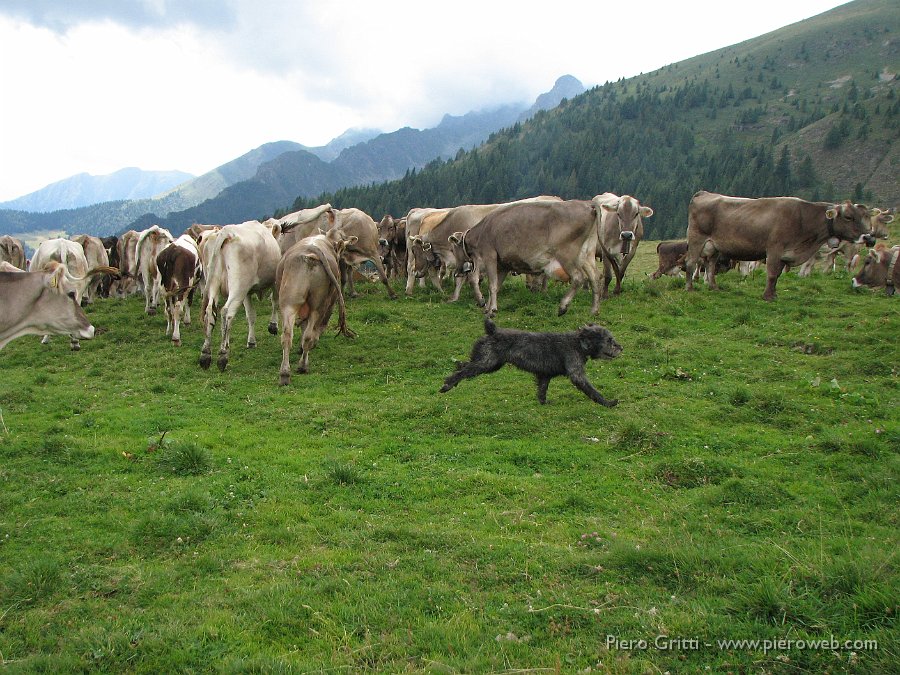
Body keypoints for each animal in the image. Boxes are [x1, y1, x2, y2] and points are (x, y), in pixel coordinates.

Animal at [200, 220, 282, 372]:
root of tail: (226, 232)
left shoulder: (247, 293)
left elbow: (251, 315)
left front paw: (251, 341)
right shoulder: (274, 281)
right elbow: (275, 303)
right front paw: (273, 326)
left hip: (214, 282)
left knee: (210, 312)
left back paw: (205, 355)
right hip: (238, 286)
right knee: (226, 312)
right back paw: (223, 355)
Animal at [276, 230, 356, 386]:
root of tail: (310, 251)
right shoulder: (329, 304)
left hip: (289, 303)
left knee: (287, 336)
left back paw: (285, 374)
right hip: (319, 306)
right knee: (309, 334)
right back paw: (303, 366)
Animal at [440, 318, 624, 406]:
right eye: (609, 340)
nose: (621, 348)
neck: (579, 343)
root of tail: (492, 331)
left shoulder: (544, 376)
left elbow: (542, 391)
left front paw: (544, 403)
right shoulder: (577, 374)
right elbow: (592, 391)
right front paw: (608, 403)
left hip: (490, 364)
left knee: (464, 365)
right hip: (485, 363)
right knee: (463, 372)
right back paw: (447, 385)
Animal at [450, 199, 604, 318]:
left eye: (453, 249)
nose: (457, 272)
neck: (481, 232)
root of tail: (587, 204)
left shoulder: (490, 256)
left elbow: (492, 285)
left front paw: (491, 310)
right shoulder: (503, 265)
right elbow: (497, 286)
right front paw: (489, 307)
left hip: (566, 254)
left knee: (578, 277)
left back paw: (563, 306)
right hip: (587, 254)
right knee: (595, 277)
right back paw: (594, 310)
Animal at [684, 191, 876, 300]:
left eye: (864, 216)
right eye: (849, 217)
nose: (870, 238)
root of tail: (704, 193)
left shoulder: (785, 254)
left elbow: (777, 276)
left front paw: (774, 294)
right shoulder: (774, 249)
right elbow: (771, 274)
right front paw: (768, 297)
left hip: (715, 246)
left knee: (710, 265)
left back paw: (713, 287)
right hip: (696, 239)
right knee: (691, 263)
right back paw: (689, 288)